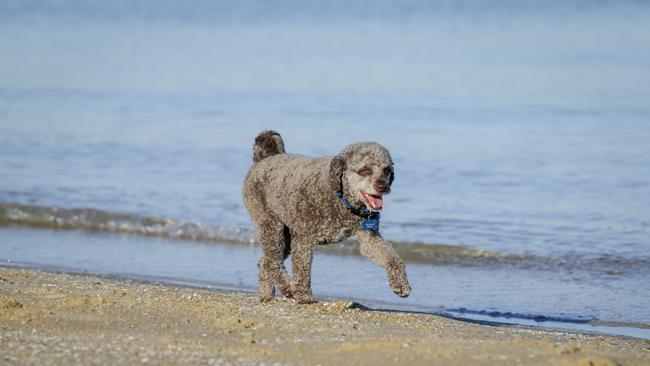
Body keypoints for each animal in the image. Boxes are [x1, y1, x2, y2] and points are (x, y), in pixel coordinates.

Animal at [240, 129, 408, 304]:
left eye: (387, 170)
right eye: (364, 170)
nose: (383, 186)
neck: (340, 196)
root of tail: (264, 158)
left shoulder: (369, 238)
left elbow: (392, 257)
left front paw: (401, 283)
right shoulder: (303, 239)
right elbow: (302, 270)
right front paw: (304, 297)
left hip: (286, 238)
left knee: (264, 262)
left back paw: (266, 295)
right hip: (271, 226)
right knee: (274, 262)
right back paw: (287, 287)